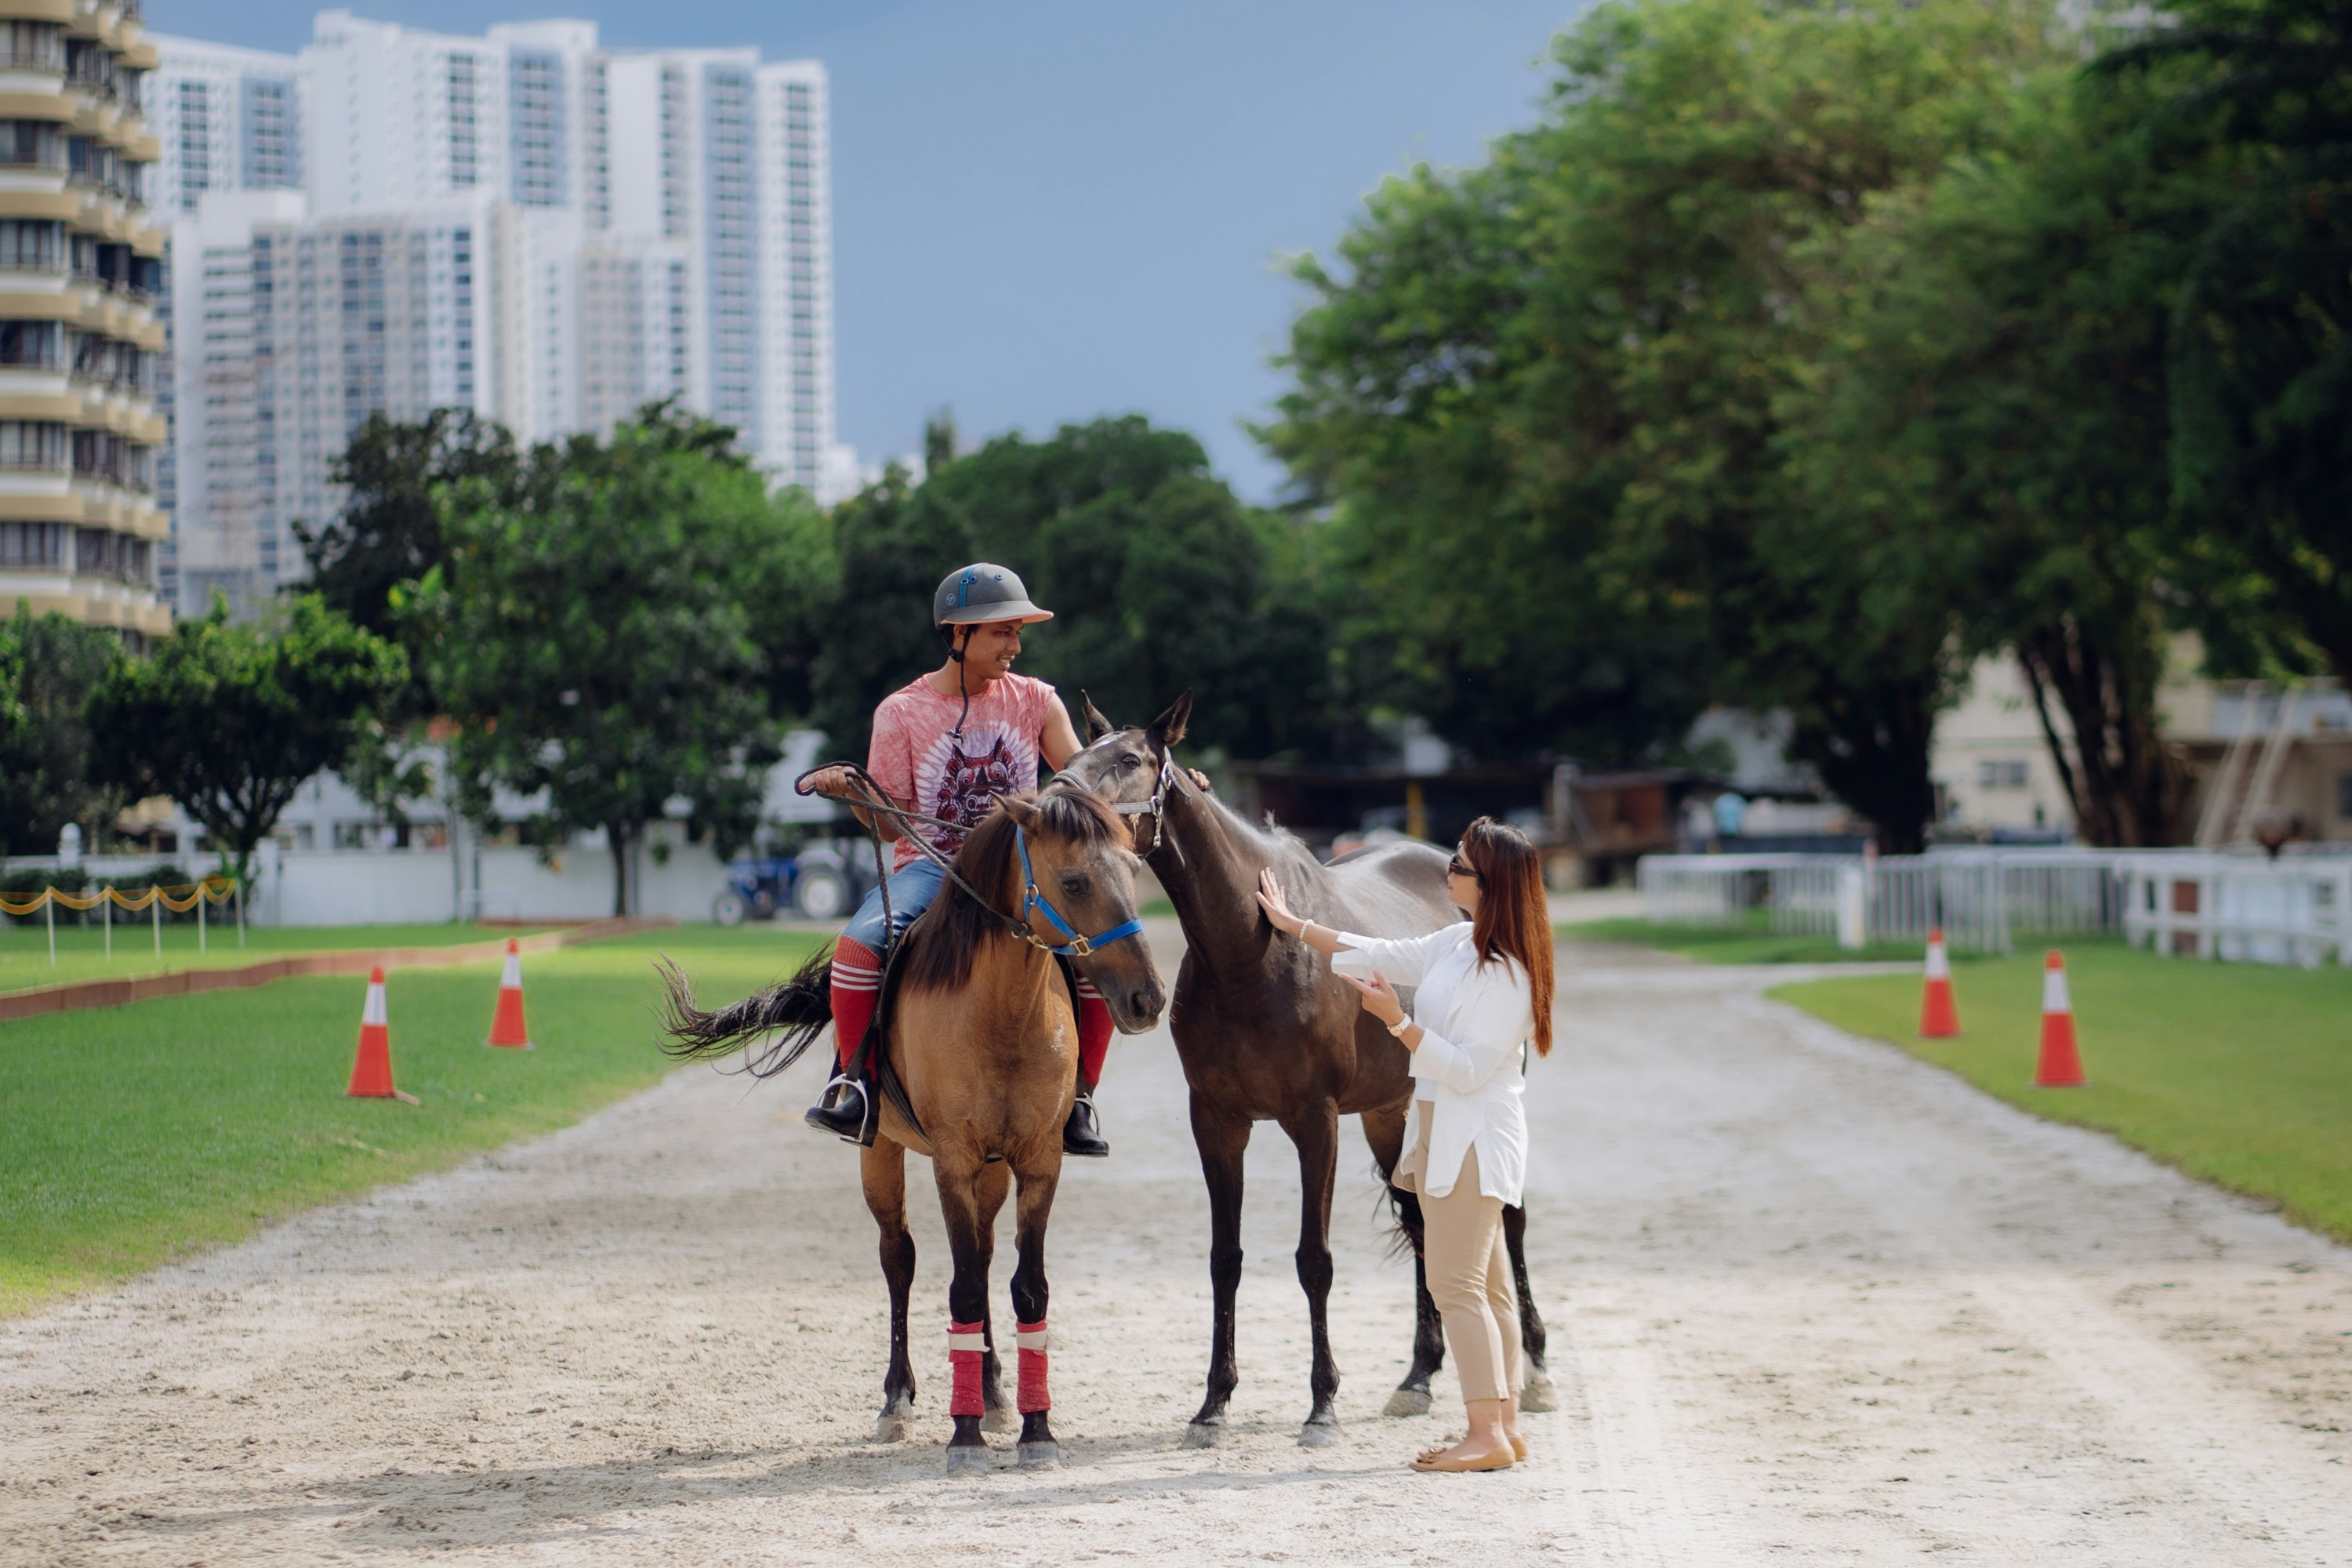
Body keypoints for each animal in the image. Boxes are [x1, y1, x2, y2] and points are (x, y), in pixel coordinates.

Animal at [656, 786, 1165, 1472]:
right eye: (1074, 881)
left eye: (1135, 871)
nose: (1149, 998)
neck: (1004, 1012)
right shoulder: (951, 1159)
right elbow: (962, 1289)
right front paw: (965, 1436)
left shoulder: (1038, 1161)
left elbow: (1026, 1287)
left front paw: (1036, 1429)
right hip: (884, 1155)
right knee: (901, 1259)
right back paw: (898, 1400)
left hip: (993, 1170)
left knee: (982, 1253)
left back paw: (994, 1391)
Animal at [1059, 694, 1554, 1449]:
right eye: (1074, 756)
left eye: (1129, 760)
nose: (1055, 799)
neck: (1249, 950)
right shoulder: (1218, 1122)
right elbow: (1225, 1260)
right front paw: (1213, 1404)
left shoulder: (1315, 1122)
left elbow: (1313, 1261)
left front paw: (1322, 1406)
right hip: (1394, 1113)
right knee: (1423, 1220)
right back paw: (1418, 1376)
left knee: (1512, 1218)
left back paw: (1535, 1372)